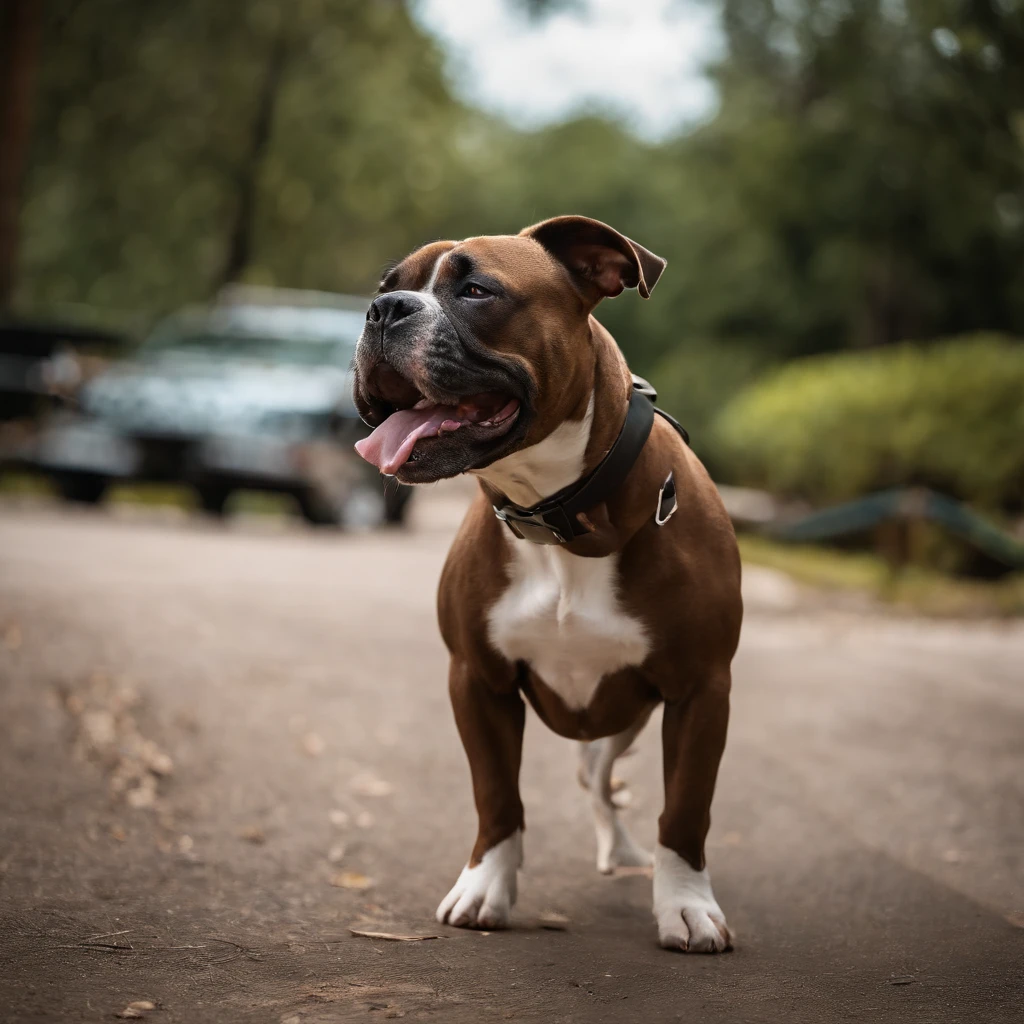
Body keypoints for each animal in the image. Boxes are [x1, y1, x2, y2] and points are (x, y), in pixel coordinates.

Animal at [356, 216, 741, 950]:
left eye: (477, 291)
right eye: (385, 287)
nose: (383, 310)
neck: (559, 517)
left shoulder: (701, 690)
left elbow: (687, 810)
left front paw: (685, 905)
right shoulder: (478, 679)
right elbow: (497, 795)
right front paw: (485, 888)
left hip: (631, 716)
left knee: (602, 778)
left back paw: (629, 855)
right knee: (593, 777)